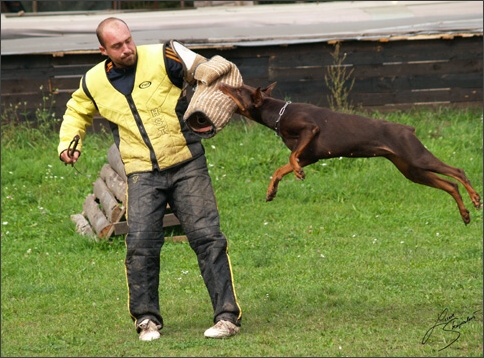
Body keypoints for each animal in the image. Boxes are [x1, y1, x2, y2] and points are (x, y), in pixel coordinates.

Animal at [221, 82, 482, 225]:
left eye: (238, 89)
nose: (221, 84)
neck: (278, 112)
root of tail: (408, 128)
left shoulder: (310, 131)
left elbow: (290, 158)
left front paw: (297, 174)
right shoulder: (310, 155)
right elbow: (280, 167)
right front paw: (271, 191)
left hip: (416, 156)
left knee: (457, 172)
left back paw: (475, 198)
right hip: (411, 170)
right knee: (450, 185)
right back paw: (465, 215)